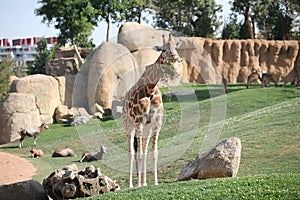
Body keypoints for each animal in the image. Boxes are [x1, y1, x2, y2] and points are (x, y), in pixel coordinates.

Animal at [122, 33, 180, 188]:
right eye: (163, 49)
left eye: (175, 47)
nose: (174, 57)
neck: (151, 89)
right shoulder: (139, 121)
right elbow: (139, 154)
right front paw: (139, 185)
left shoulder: (156, 121)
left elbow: (153, 153)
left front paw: (155, 182)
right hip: (129, 124)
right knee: (131, 153)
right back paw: (132, 185)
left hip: (146, 127)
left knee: (144, 150)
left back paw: (144, 182)